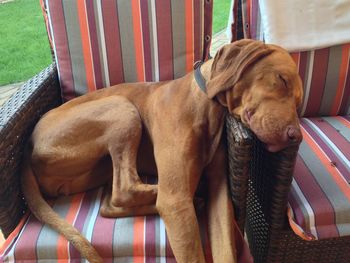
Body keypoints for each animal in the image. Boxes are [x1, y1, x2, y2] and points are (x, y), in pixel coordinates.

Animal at [20, 39, 302, 263]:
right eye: (281, 79)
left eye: (299, 102)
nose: (295, 136)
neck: (206, 105)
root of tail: (28, 151)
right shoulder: (175, 200)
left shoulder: (220, 191)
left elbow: (225, 248)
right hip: (121, 108)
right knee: (126, 190)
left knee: (110, 203)